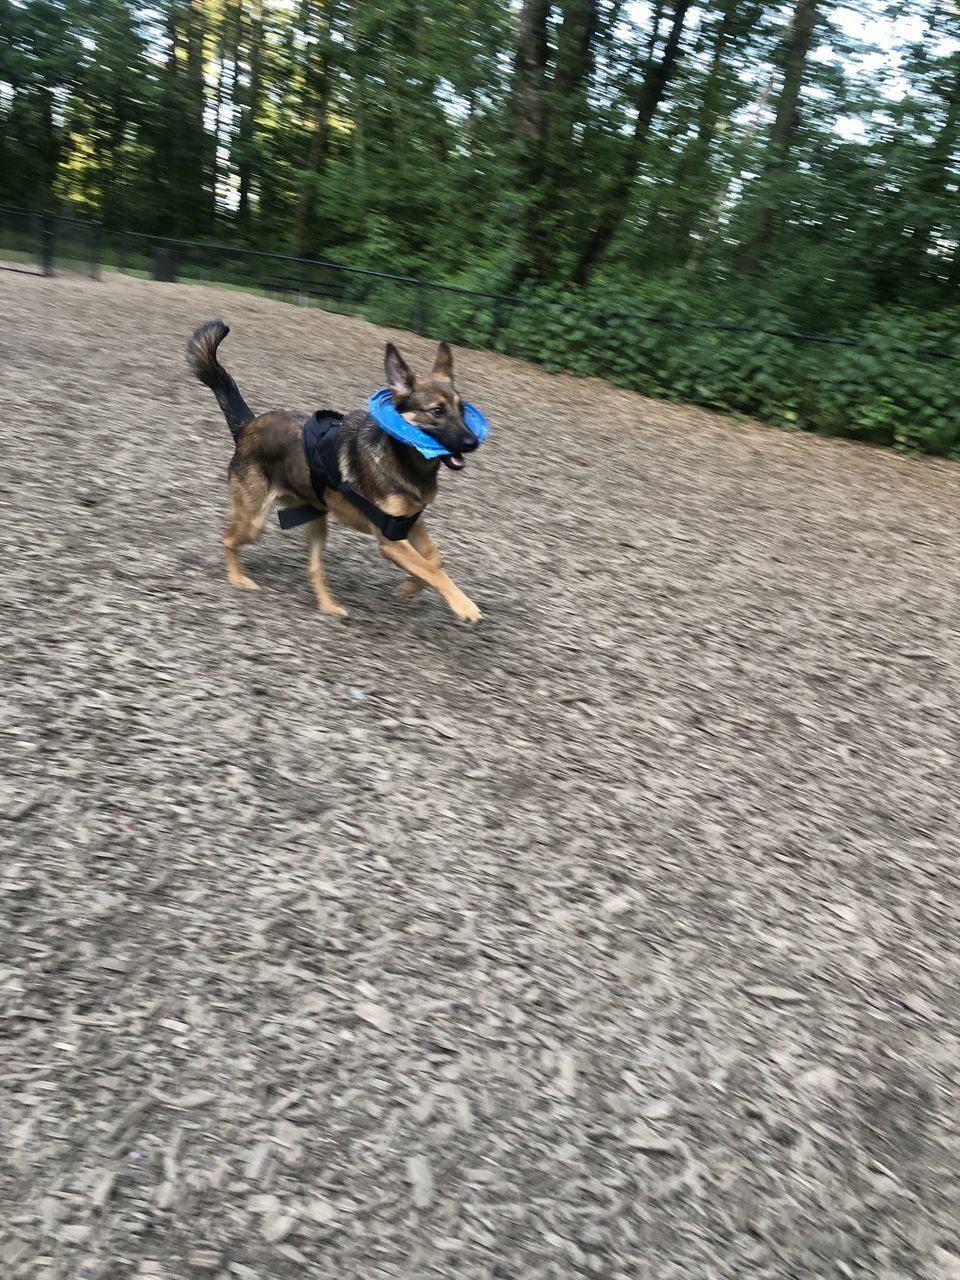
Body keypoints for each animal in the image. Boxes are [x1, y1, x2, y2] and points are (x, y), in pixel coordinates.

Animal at [186, 318, 483, 619]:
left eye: (462, 409)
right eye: (437, 411)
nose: (473, 441)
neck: (406, 461)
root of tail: (247, 427)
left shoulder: (411, 522)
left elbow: (433, 560)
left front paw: (409, 588)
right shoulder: (391, 540)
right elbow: (432, 570)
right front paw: (464, 605)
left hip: (315, 520)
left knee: (314, 569)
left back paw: (329, 607)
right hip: (254, 521)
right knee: (227, 539)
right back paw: (238, 579)